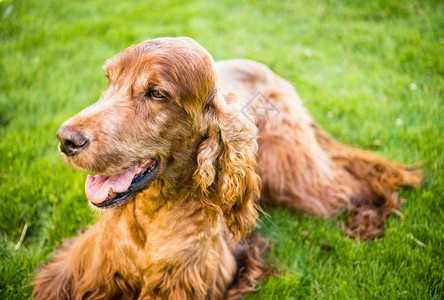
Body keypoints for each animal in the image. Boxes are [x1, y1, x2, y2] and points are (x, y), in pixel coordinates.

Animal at [32, 37, 424, 300]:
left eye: (157, 94)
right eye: (109, 81)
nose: (66, 139)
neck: (153, 212)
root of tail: (268, 70)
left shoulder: (185, 284)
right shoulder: (74, 271)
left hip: (291, 172)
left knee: (348, 185)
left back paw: (367, 221)